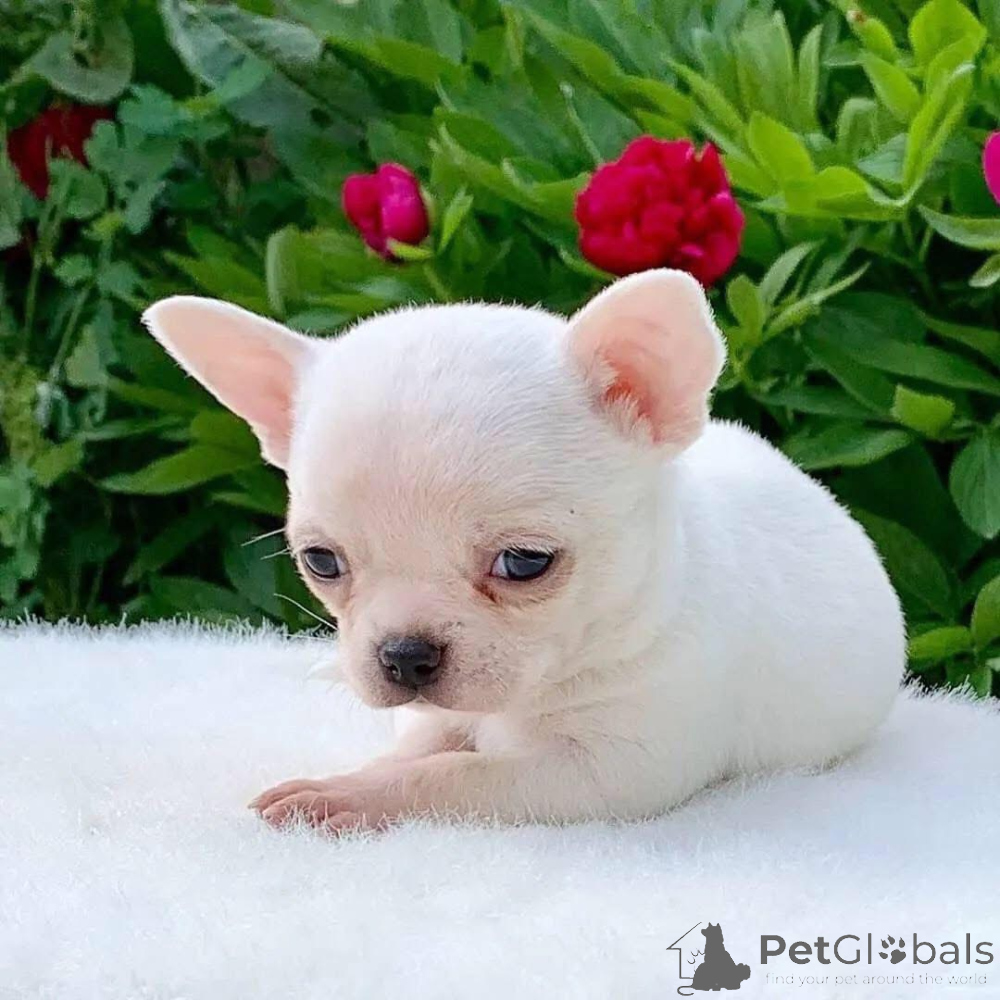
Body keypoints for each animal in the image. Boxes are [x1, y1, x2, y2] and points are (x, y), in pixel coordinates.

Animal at [144, 269, 905, 832]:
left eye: (525, 563)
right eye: (321, 562)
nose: (404, 655)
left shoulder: (604, 771)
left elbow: (451, 776)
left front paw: (352, 799)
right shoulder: (445, 718)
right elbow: (416, 750)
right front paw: (349, 778)